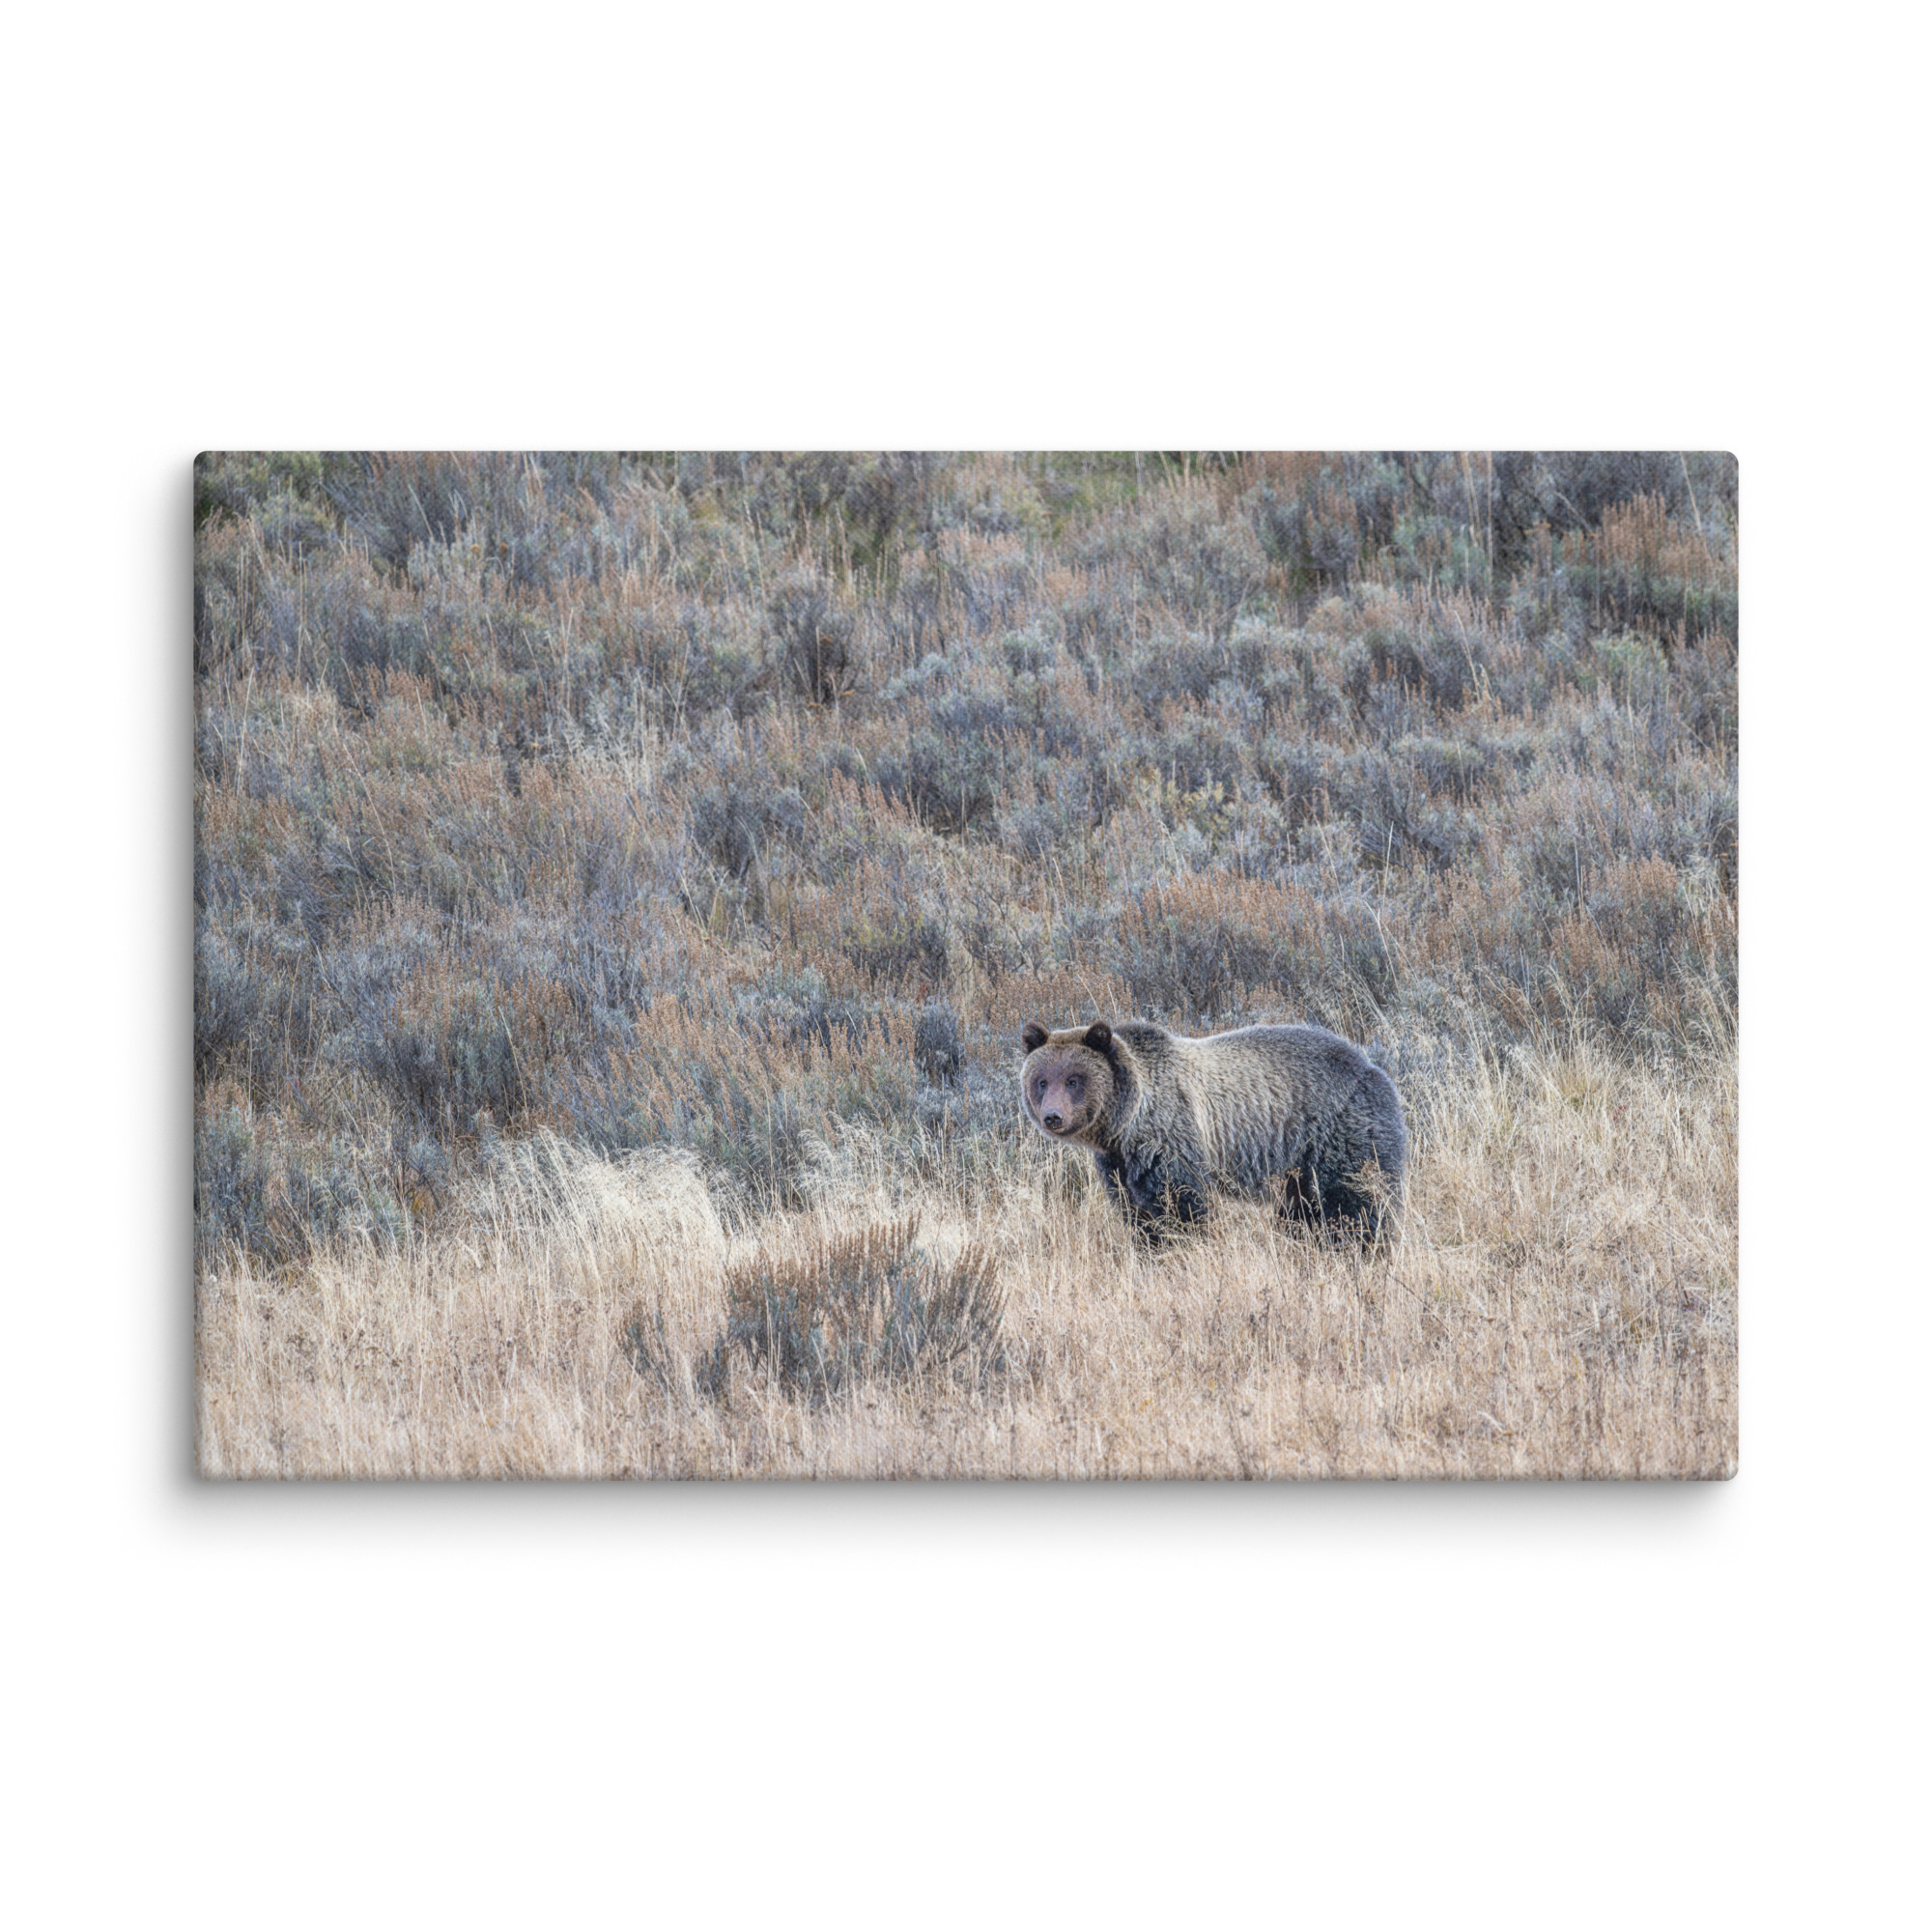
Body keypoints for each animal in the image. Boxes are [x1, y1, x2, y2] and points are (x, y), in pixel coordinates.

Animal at [1019, 1017, 1407, 1243]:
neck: (1125, 1125)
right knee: (1303, 1211)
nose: (1053, 1116)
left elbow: (1183, 1207)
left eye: (1074, 1080)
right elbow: (1137, 1213)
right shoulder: (1119, 1165)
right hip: (1298, 1167)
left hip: (1340, 1133)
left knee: (1355, 1202)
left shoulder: (1172, 1139)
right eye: (1042, 1081)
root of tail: (1372, 1067)